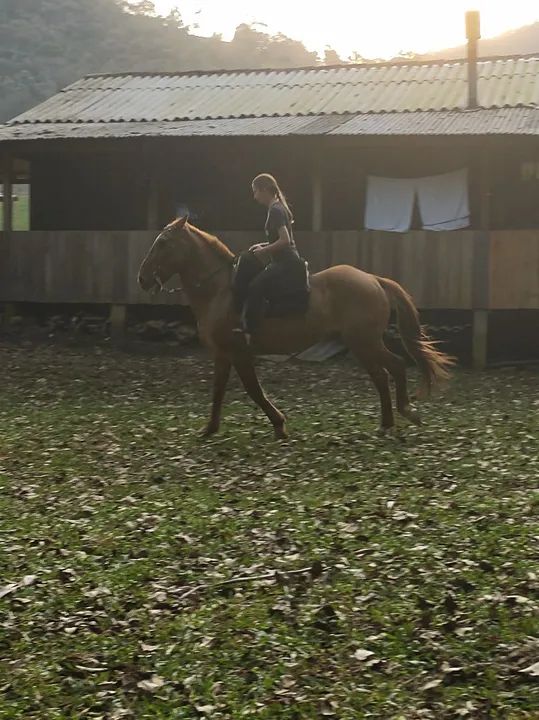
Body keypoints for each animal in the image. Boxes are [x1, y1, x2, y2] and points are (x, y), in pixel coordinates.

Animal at [138, 216, 453, 438]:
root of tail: (373, 279)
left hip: (365, 342)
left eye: (163, 243)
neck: (220, 290)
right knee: (382, 375)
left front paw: (279, 425)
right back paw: (387, 423)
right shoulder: (223, 354)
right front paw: (209, 429)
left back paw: (405, 413)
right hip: (362, 344)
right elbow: (218, 390)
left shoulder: (239, 352)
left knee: (394, 367)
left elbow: (253, 389)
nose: (142, 278)